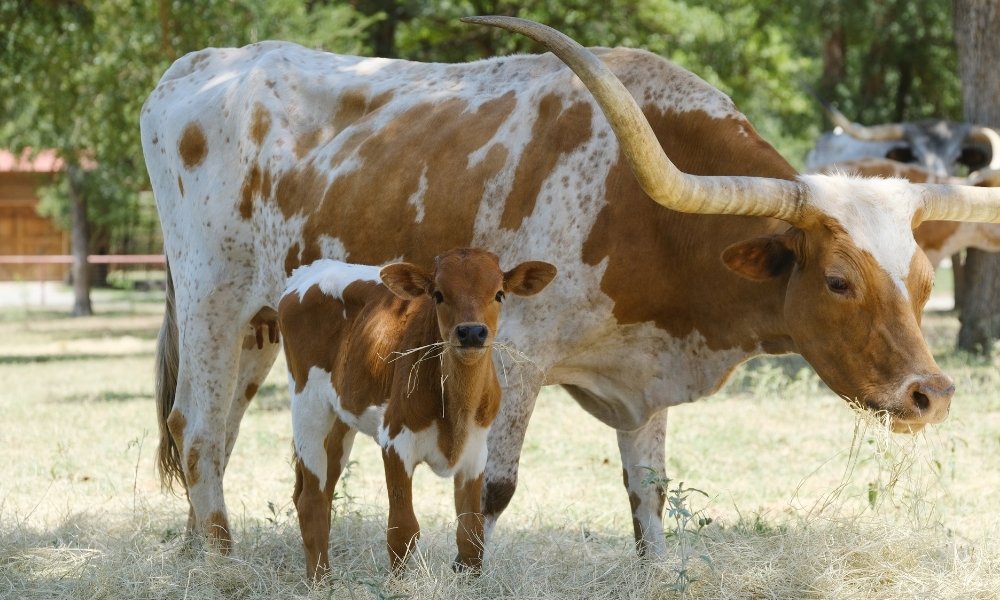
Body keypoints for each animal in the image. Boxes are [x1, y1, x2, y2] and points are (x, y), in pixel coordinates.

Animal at [278, 247, 556, 576]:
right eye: (438, 294)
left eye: (499, 294)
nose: (471, 332)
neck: (456, 408)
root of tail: (311, 270)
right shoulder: (396, 440)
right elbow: (402, 530)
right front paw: (398, 584)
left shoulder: (476, 452)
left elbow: (471, 534)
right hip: (308, 406)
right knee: (310, 500)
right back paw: (320, 581)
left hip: (340, 418)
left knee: (321, 491)